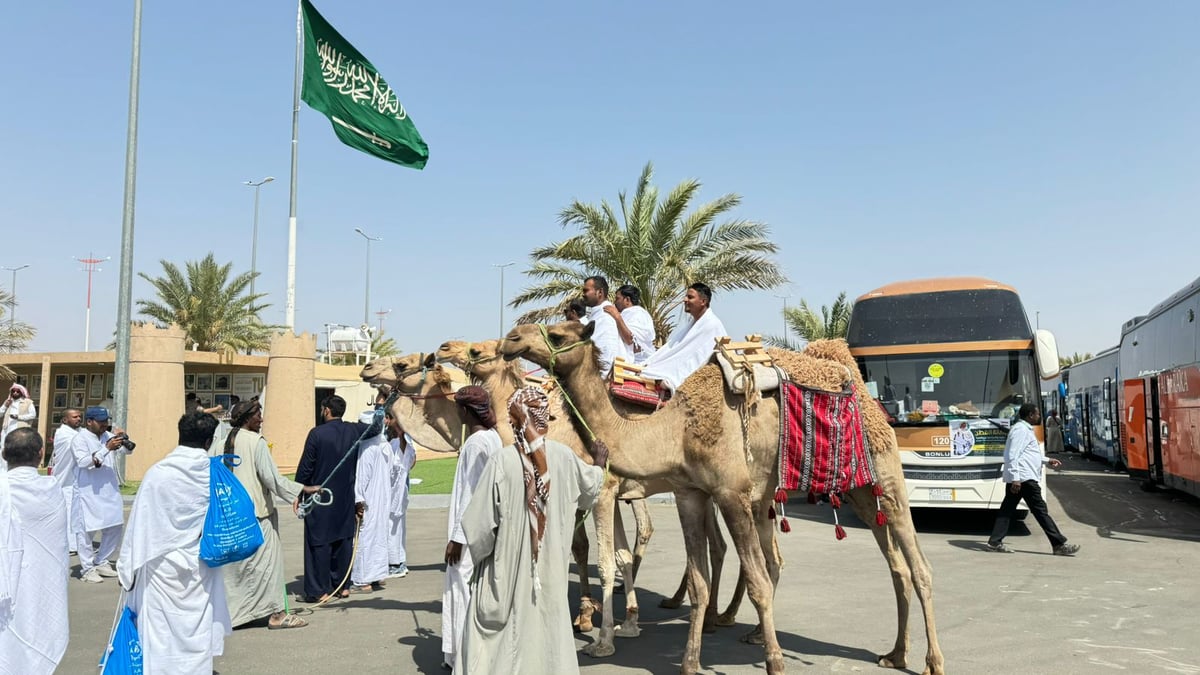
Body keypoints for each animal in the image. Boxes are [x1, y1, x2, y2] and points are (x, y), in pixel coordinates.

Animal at [499, 319, 945, 672]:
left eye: (558, 332)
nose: (510, 338)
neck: (674, 430)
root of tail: (863, 392)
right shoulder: (690, 493)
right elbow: (698, 582)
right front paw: (690, 663)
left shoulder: (731, 492)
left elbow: (758, 580)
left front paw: (775, 662)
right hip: (859, 490)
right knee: (897, 567)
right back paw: (895, 654)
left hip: (886, 475)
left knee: (920, 567)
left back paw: (932, 662)